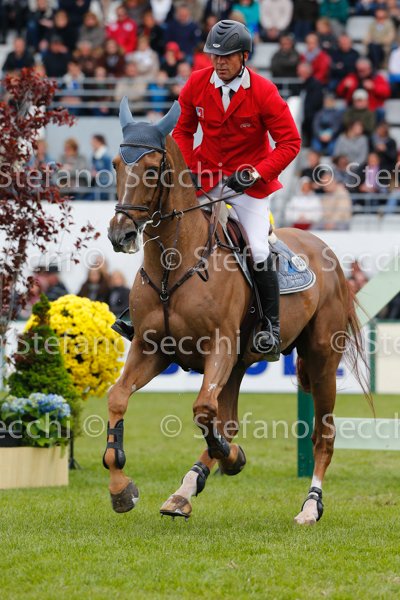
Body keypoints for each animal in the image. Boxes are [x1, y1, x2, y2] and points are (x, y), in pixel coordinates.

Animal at [103, 97, 369, 525]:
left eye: (151, 169)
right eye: (115, 164)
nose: (120, 234)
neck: (174, 264)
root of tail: (322, 245)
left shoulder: (219, 347)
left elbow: (202, 410)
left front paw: (233, 459)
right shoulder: (152, 350)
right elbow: (118, 397)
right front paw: (120, 489)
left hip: (321, 358)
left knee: (322, 436)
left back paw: (310, 506)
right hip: (241, 364)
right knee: (226, 420)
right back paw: (184, 491)